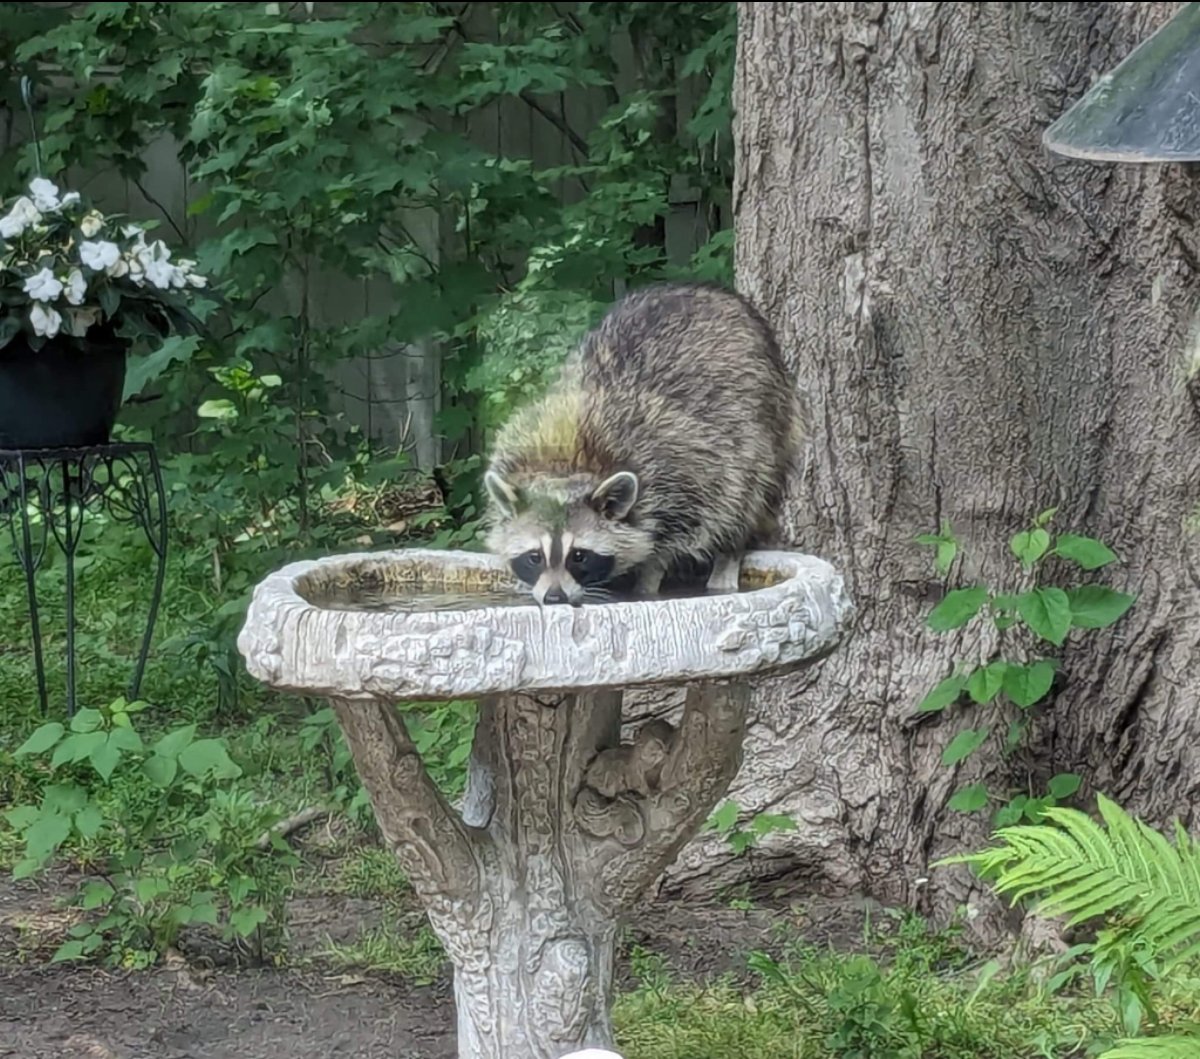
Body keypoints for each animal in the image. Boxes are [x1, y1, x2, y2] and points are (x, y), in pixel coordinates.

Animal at [482, 282, 801, 602]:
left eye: (579, 556)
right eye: (534, 556)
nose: (554, 597)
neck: (567, 464)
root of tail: (706, 289)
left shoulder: (684, 471)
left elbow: (676, 535)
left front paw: (647, 582)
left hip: (768, 419)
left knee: (746, 491)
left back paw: (728, 559)